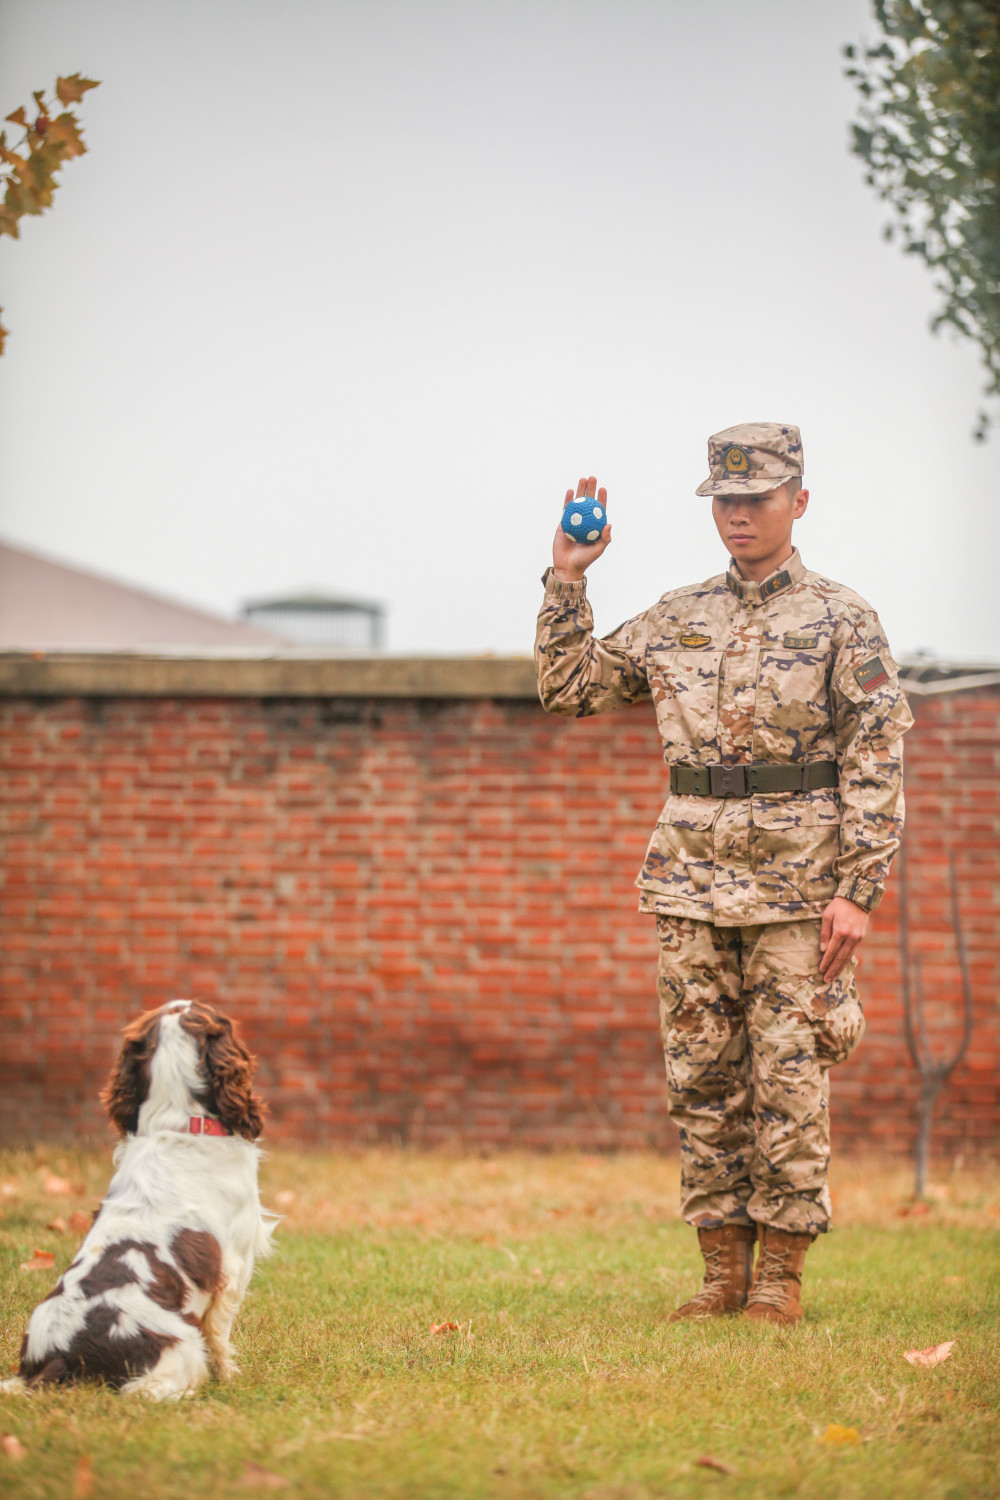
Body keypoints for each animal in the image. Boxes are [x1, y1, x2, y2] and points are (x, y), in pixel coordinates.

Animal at [1, 1002, 275, 1398]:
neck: (180, 1124)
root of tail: (60, 1355)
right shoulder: (234, 1268)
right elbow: (220, 1337)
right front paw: (229, 1376)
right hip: (181, 1342)